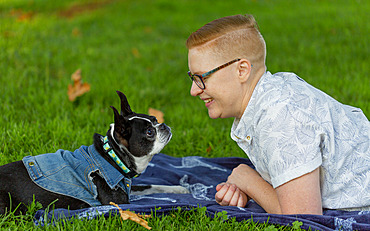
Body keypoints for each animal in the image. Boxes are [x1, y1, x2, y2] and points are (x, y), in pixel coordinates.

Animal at [0, 91, 188, 214]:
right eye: (149, 132)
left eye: (155, 119)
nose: (163, 126)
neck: (113, 156)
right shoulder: (119, 201)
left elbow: (150, 186)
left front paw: (180, 189)